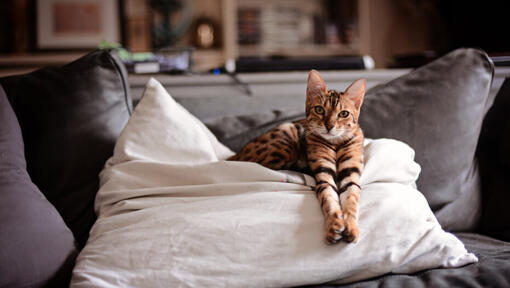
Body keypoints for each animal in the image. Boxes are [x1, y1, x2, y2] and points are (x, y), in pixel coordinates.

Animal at [228, 70, 366, 243]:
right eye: (319, 109)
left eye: (344, 114)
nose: (329, 126)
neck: (335, 143)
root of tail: (235, 155)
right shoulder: (323, 173)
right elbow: (329, 199)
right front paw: (334, 226)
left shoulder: (351, 173)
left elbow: (351, 201)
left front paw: (351, 228)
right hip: (285, 138)